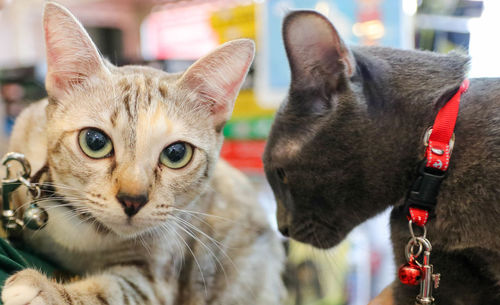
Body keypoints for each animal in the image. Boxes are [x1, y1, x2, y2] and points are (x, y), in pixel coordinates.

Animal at [0, 2, 286, 304]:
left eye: (176, 153)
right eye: (94, 141)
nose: (132, 200)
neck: (84, 232)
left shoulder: (154, 279)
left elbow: (109, 291)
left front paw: (42, 288)